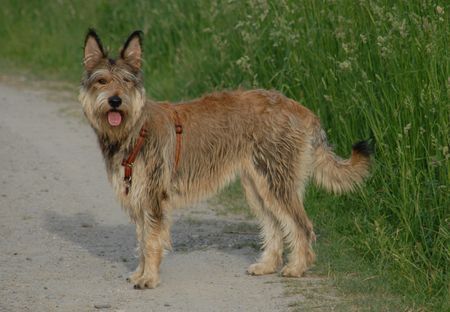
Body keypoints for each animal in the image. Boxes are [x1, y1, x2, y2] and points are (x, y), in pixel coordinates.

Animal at [78, 29, 372, 290]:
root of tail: (302, 109)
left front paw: (148, 278)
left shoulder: (152, 197)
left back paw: (297, 267)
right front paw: (140, 273)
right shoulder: (139, 197)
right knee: (275, 226)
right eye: (102, 81)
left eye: (127, 81)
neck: (135, 128)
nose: (115, 101)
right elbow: (141, 240)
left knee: (301, 225)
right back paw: (267, 265)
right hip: (258, 187)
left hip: (276, 182)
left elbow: (150, 241)